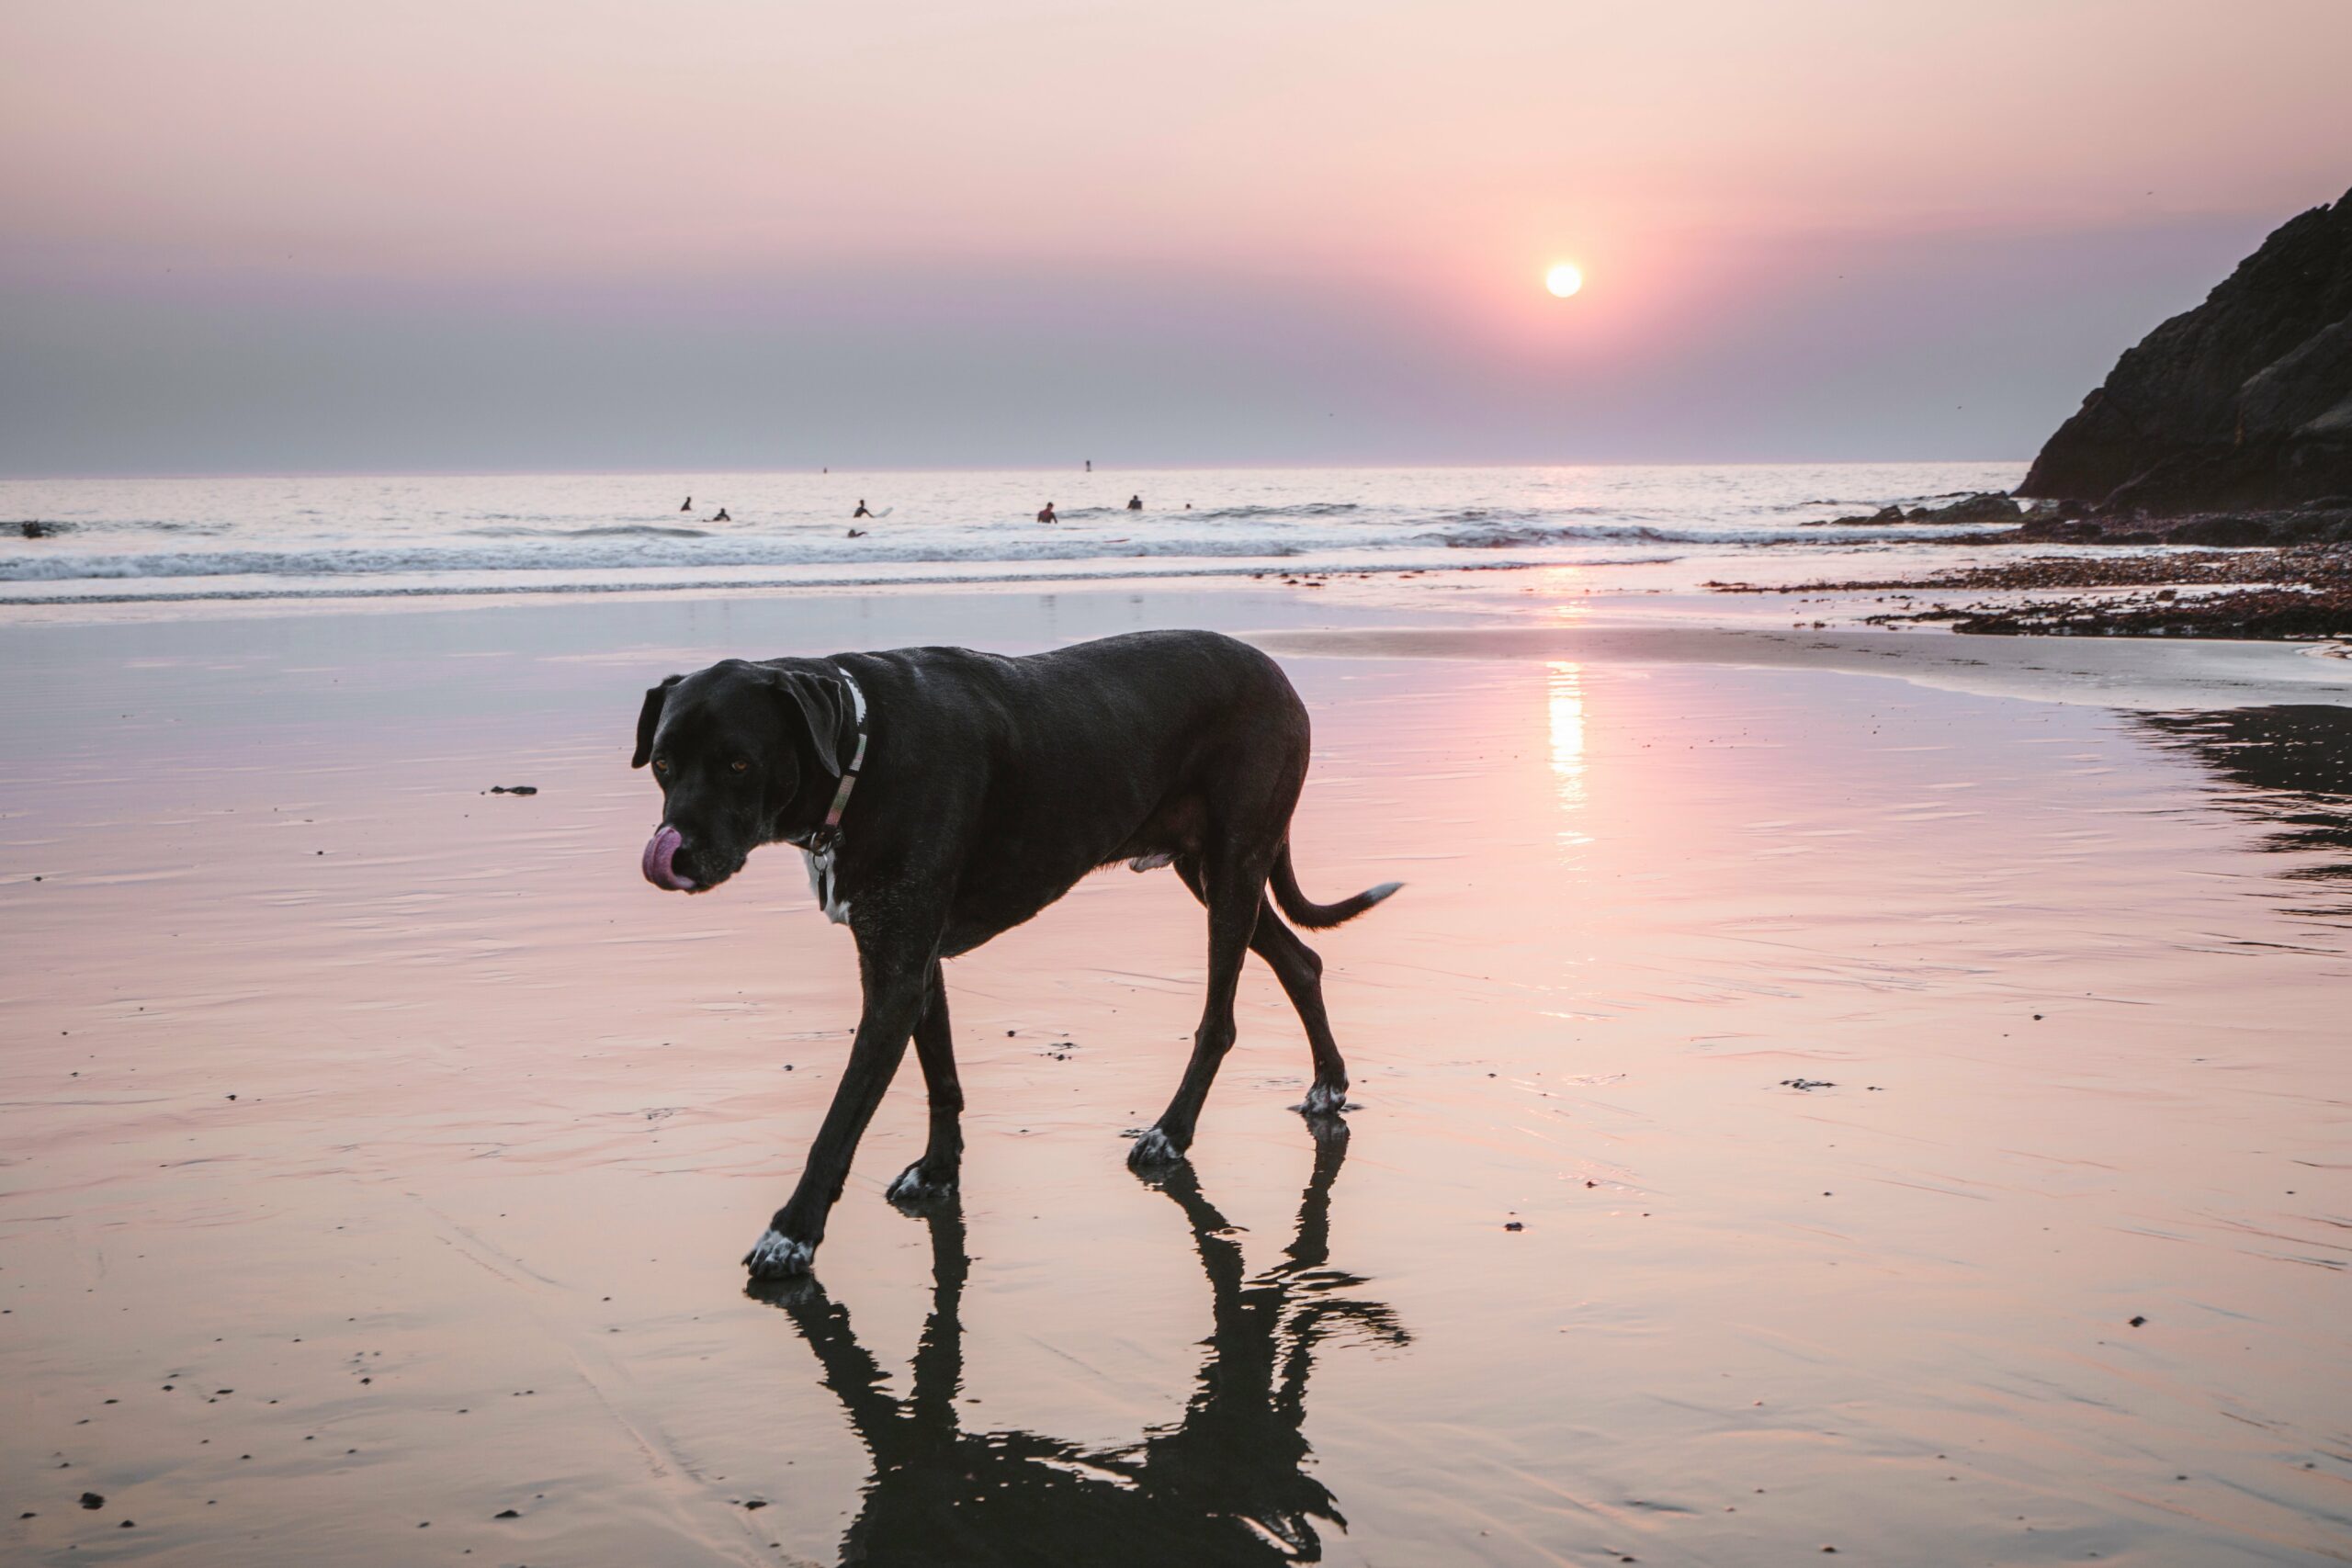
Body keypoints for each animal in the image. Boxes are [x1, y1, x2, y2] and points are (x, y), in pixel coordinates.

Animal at [630, 629, 1392, 1279]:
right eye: (663, 764)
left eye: (738, 762)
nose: (676, 855)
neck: (858, 749)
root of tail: (1277, 673)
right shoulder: (910, 956)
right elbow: (941, 1077)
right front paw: (938, 1171)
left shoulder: (896, 973)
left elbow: (840, 1120)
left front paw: (791, 1232)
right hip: (1210, 871)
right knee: (1300, 961)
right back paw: (1328, 1083)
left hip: (1233, 865)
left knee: (1221, 1020)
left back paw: (1171, 1132)